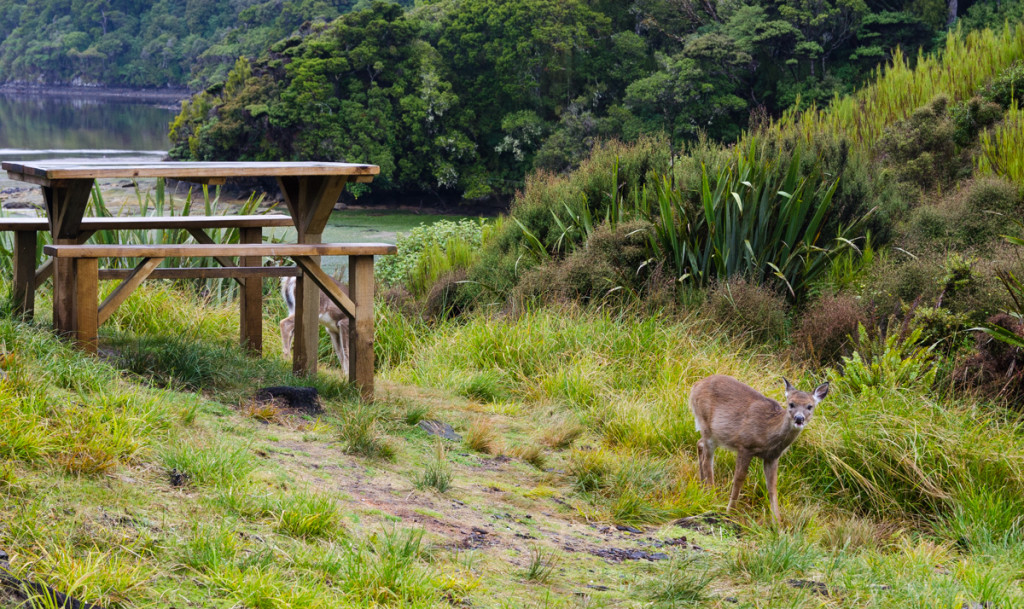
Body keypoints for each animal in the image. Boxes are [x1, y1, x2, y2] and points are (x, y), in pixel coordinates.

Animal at [684, 374, 827, 522]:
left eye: (810, 406)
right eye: (791, 404)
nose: (799, 418)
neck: (768, 433)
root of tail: (695, 386)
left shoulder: (772, 457)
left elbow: (772, 486)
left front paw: (777, 523)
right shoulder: (745, 446)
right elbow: (739, 479)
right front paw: (730, 512)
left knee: (699, 444)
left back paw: (703, 487)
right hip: (706, 425)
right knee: (707, 460)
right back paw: (712, 496)